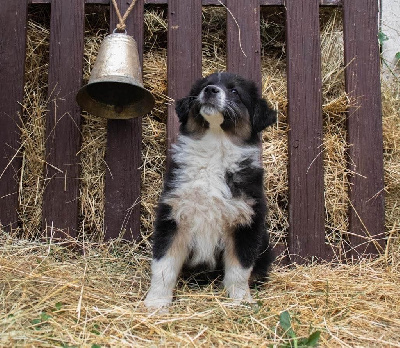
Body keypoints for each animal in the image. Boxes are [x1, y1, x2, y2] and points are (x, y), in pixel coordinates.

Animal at [145, 72, 278, 308]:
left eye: (234, 91)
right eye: (205, 85)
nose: (210, 90)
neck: (215, 148)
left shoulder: (245, 222)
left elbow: (239, 269)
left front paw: (241, 301)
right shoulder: (173, 215)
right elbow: (164, 265)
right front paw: (156, 302)